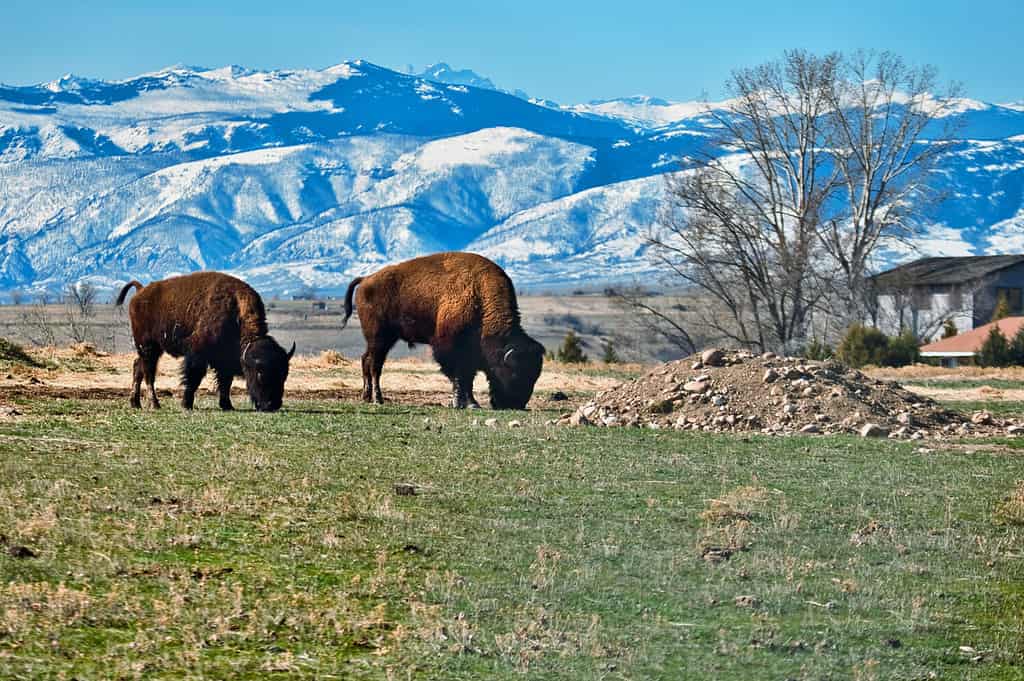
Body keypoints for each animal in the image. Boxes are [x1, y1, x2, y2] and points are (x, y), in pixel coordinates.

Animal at [120, 270, 299, 409]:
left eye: (284, 374)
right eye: (260, 373)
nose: (272, 405)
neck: (236, 313)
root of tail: (141, 291)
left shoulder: (225, 360)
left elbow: (225, 382)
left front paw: (227, 406)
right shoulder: (197, 354)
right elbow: (194, 378)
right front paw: (186, 405)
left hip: (151, 349)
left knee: (138, 367)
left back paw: (135, 403)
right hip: (148, 346)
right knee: (148, 373)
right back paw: (155, 404)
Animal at [342, 250, 544, 405]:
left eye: (535, 376)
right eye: (515, 373)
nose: (515, 404)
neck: (480, 296)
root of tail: (366, 279)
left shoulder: (470, 354)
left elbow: (468, 378)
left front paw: (471, 403)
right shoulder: (449, 348)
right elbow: (459, 377)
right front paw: (460, 403)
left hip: (382, 340)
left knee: (366, 360)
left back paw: (367, 397)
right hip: (379, 338)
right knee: (375, 365)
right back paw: (378, 399)